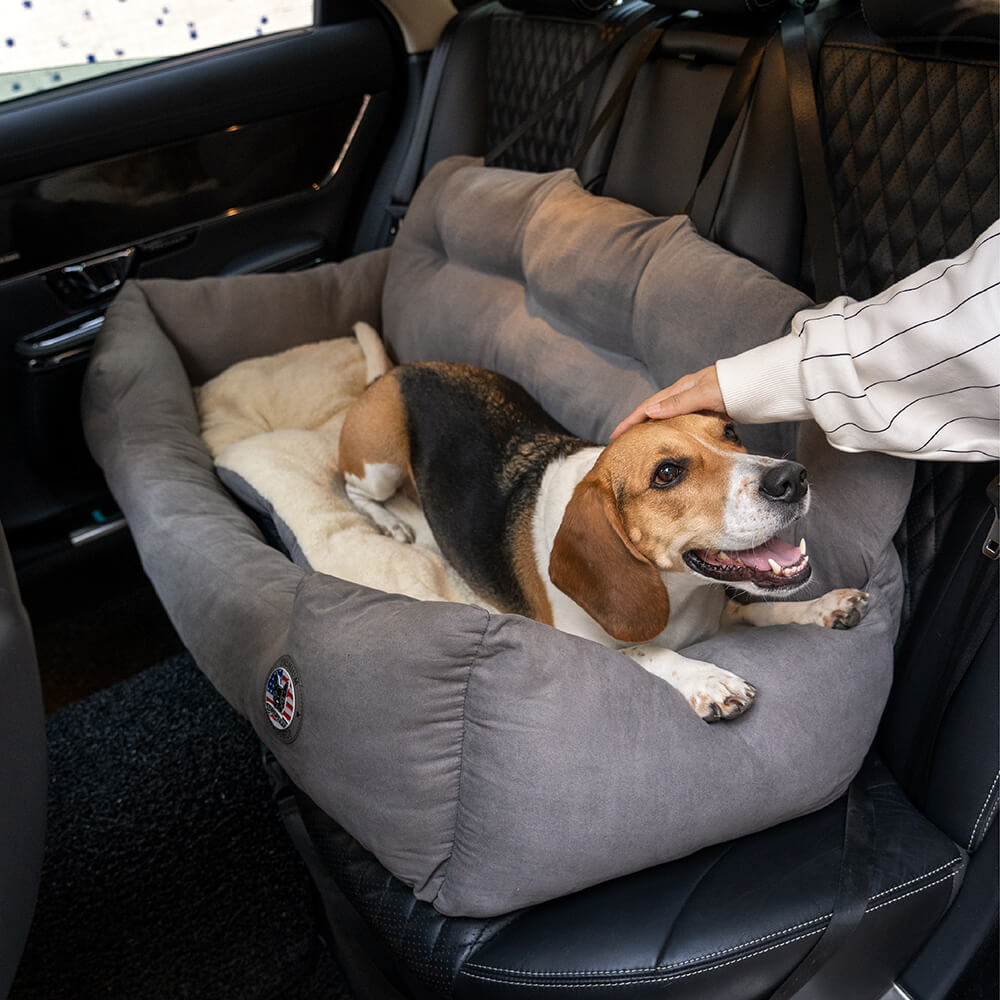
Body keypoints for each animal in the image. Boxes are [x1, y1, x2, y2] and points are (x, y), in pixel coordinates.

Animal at [338, 324, 868, 724]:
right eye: (666, 473)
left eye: (731, 432)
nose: (792, 478)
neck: (677, 596)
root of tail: (394, 372)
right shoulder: (584, 645)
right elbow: (643, 652)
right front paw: (707, 678)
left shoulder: (724, 613)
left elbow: (765, 610)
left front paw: (824, 606)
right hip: (378, 465)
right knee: (353, 488)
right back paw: (393, 524)